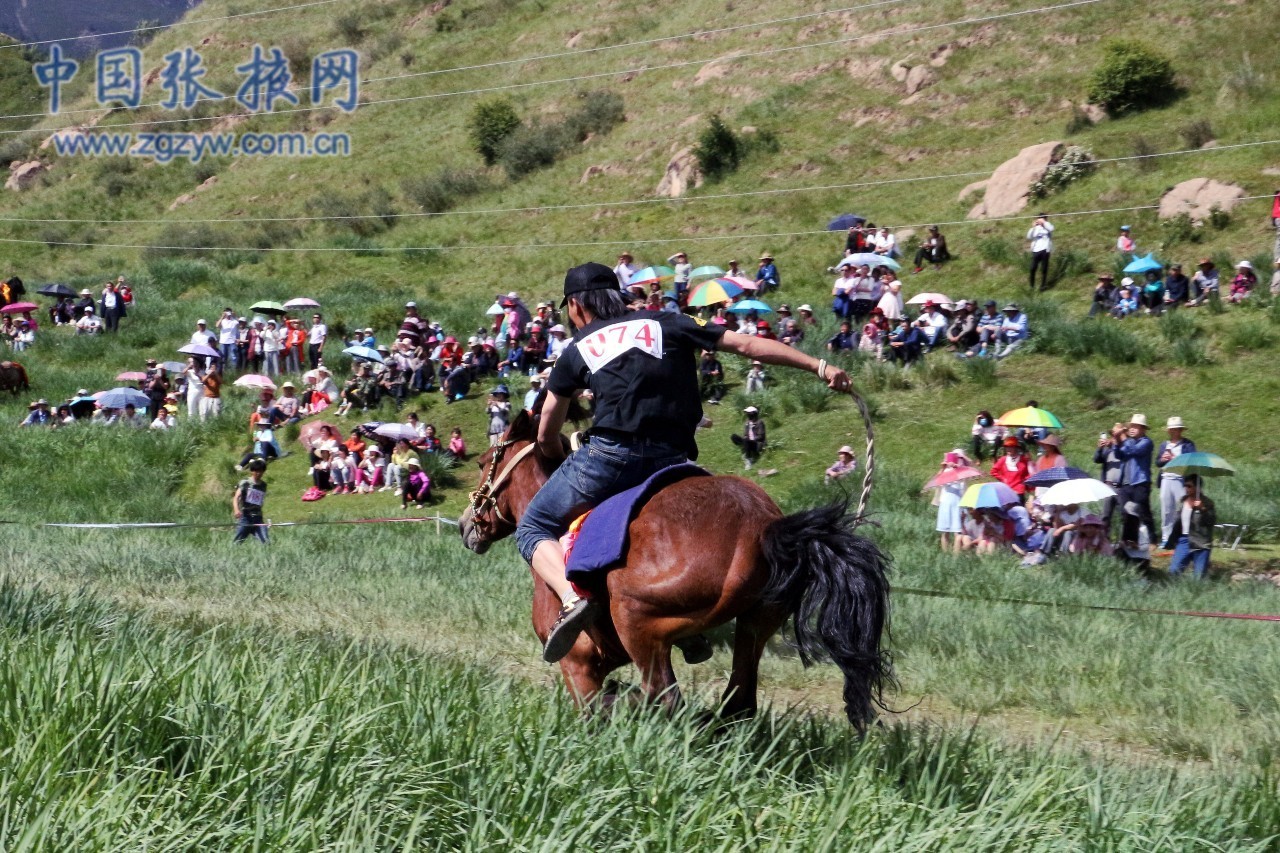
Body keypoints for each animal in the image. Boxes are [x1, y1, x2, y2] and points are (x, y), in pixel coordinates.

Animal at [458, 402, 890, 722]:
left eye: (483, 462)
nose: (465, 524)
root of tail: (763, 527)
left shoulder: (578, 665)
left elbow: (596, 707)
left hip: (636, 621)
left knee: (665, 699)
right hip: (755, 624)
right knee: (737, 703)